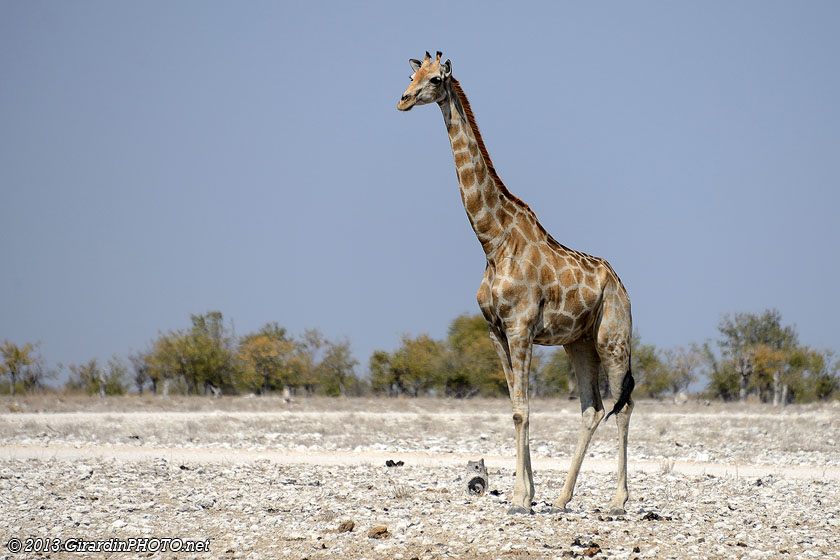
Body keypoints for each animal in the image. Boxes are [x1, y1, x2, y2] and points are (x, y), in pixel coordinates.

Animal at [398, 52, 635, 515]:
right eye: (411, 75)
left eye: (434, 80)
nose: (402, 100)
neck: (492, 240)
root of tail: (622, 286)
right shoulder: (496, 330)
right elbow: (514, 406)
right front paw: (522, 493)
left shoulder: (521, 327)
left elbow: (524, 409)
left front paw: (522, 498)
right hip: (578, 342)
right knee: (592, 408)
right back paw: (562, 497)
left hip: (613, 339)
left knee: (624, 404)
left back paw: (619, 499)